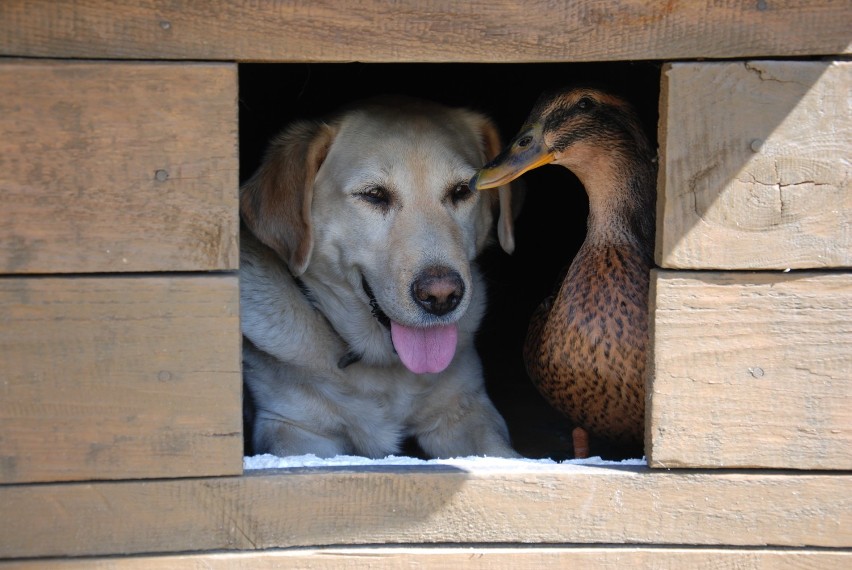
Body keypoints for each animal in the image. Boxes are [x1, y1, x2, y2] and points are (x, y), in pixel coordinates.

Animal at [238, 94, 520, 458]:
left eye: (461, 191)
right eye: (374, 195)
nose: (441, 296)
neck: (384, 368)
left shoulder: (467, 410)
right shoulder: (293, 429)